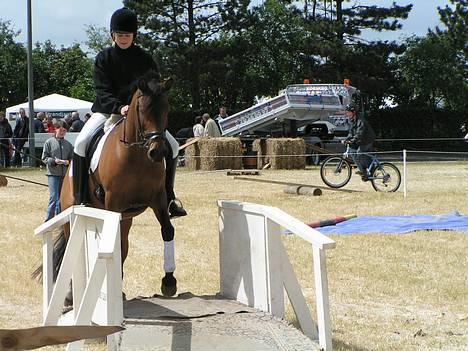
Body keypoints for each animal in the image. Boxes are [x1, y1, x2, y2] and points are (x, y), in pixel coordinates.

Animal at [33, 73, 177, 302]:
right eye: (142, 110)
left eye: (166, 109)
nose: (158, 152)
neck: (137, 155)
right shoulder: (113, 203)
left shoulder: (158, 199)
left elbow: (167, 230)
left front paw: (169, 282)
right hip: (73, 214)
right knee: (74, 247)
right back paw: (72, 294)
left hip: (126, 217)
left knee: (123, 243)